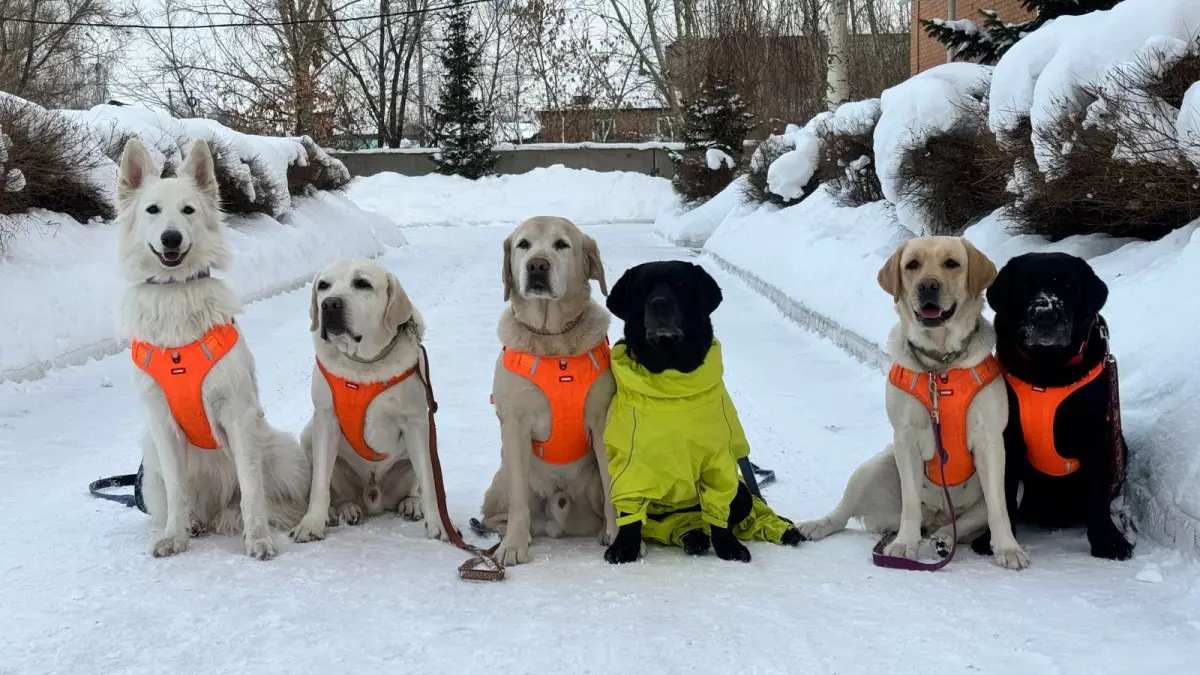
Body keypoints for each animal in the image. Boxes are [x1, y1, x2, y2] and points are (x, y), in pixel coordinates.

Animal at [117, 136, 309, 557]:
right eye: (152, 210)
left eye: (188, 210)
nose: (171, 238)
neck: (176, 294)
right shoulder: (161, 425)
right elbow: (177, 491)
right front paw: (175, 536)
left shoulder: (237, 414)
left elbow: (251, 489)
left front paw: (258, 538)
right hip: (150, 463)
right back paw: (194, 523)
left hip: (278, 449)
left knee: (273, 496)